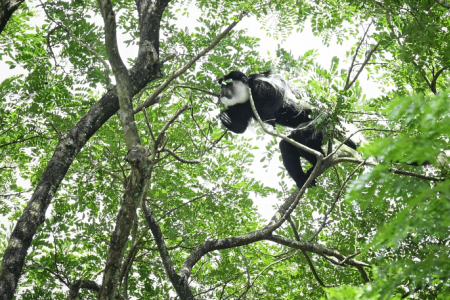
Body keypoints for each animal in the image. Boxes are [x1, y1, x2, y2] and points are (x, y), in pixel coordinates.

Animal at [219, 70, 358, 188]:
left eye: (227, 86)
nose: (220, 92)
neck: (248, 97)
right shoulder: (244, 106)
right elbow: (241, 126)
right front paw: (225, 118)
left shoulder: (259, 85)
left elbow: (273, 96)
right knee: (287, 145)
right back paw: (306, 177)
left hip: (321, 123)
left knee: (299, 135)